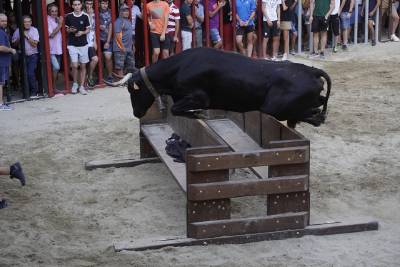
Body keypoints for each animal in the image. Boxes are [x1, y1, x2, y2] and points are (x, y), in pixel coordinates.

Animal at [109, 48, 332, 127]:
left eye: (133, 90)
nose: (137, 113)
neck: (180, 67)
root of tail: (312, 71)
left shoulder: (200, 97)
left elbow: (176, 108)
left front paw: (198, 113)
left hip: (274, 108)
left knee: (312, 112)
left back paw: (313, 118)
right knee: (318, 105)